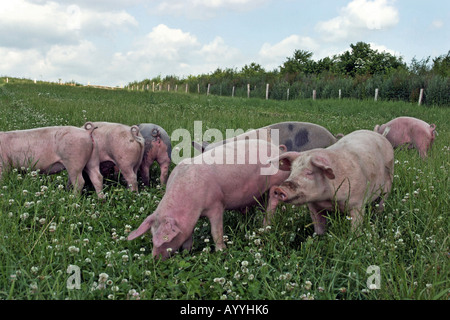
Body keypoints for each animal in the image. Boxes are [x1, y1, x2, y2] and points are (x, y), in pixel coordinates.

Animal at [126, 140, 288, 260]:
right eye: (152, 235)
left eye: (166, 239)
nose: (154, 259)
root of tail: (279, 151)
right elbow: (188, 236)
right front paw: (187, 252)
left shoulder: (216, 204)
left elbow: (216, 231)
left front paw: (221, 251)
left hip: (276, 182)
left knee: (272, 202)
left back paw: (265, 226)